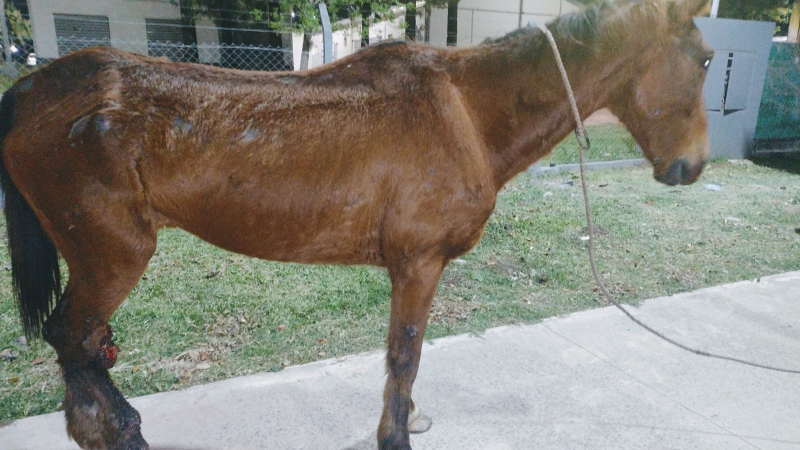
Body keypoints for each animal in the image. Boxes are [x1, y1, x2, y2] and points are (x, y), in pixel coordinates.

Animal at [0, 0, 712, 448]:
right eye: (706, 58)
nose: (693, 165)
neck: (465, 112)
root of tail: (31, 90)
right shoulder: (419, 263)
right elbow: (405, 355)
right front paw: (395, 435)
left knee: (83, 344)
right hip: (114, 254)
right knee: (73, 337)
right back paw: (117, 431)